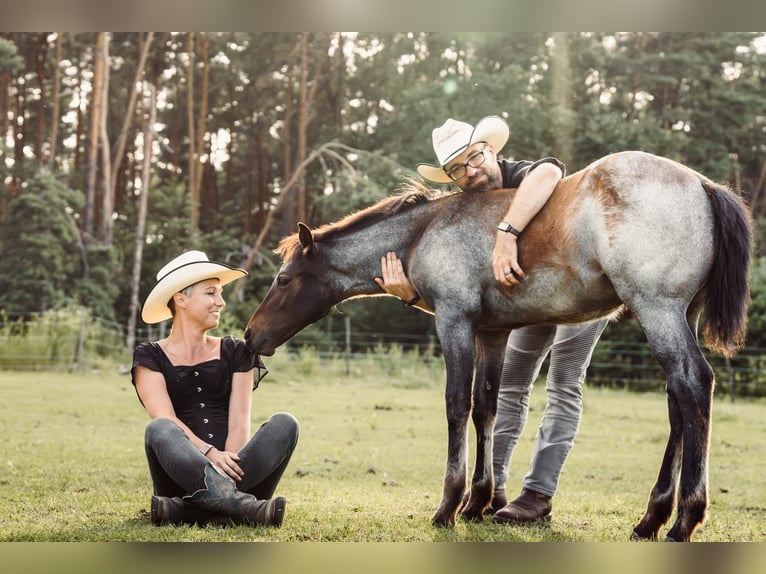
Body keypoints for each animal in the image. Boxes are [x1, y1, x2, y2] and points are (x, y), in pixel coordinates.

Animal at [248, 151, 756, 544]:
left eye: (284, 279)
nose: (253, 335)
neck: (425, 231)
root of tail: (703, 184)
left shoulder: (454, 323)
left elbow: (456, 405)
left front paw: (448, 506)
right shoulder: (491, 334)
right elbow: (486, 408)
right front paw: (478, 503)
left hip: (657, 311)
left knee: (694, 385)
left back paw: (684, 521)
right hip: (678, 317)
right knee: (677, 401)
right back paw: (651, 519)